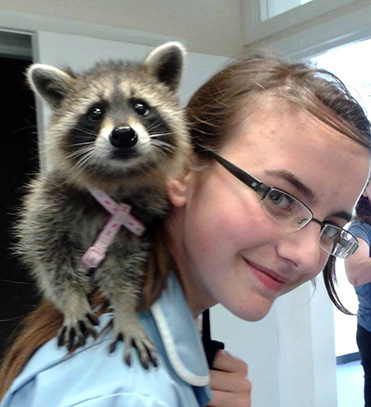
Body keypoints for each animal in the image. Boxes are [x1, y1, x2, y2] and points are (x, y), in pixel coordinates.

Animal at [16, 42, 189, 370]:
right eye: (95, 112)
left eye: (141, 107)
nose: (123, 134)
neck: (114, 179)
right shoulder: (48, 203)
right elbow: (49, 255)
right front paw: (72, 299)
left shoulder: (134, 219)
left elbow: (124, 266)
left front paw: (124, 308)